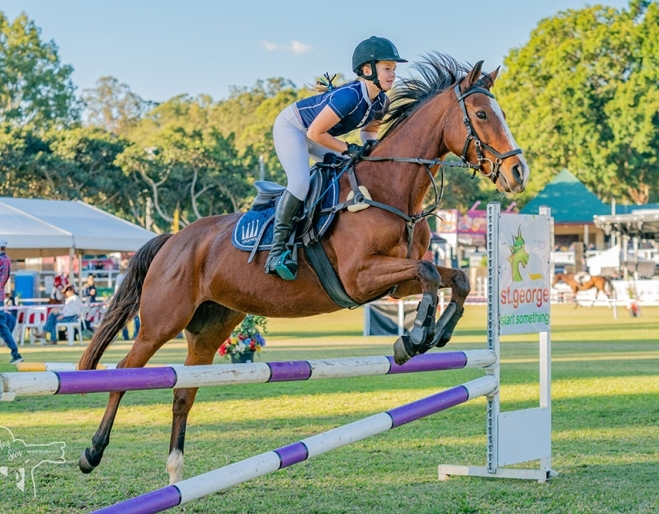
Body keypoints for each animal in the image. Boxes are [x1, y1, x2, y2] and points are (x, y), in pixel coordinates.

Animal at [77, 54, 529, 484]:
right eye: (482, 114)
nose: (518, 172)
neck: (389, 189)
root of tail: (173, 239)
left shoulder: (394, 284)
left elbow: (456, 278)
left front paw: (436, 333)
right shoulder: (360, 277)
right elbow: (432, 275)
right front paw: (415, 338)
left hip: (210, 327)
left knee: (183, 392)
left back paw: (175, 471)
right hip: (162, 319)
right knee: (125, 373)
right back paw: (92, 452)